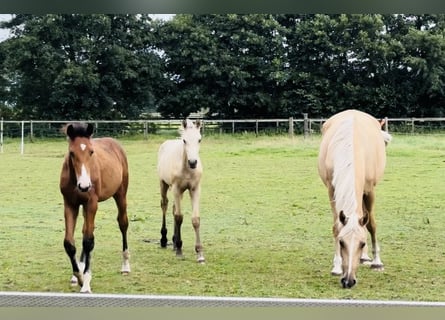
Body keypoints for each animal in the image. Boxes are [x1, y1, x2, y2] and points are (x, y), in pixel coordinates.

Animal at [59, 122, 129, 292]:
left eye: (91, 152)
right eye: (72, 153)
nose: (84, 186)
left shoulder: (91, 203)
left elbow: (89, 241)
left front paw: (86, 282)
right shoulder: (70, 204)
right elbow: (69, 243)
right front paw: (78, 276)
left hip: (121, 194)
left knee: (123, 223)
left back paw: (125, 266)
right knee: (84, 230)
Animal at [156, 119, 205, 262]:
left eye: (199, 139)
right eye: (184, 140)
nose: (193, 162)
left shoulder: (195, 189)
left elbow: (195, 219)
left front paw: (200, 253)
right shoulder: (176, 189)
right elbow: (179, 217)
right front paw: (179, 250)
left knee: (173, 209)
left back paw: (173, 241)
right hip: (164, 184)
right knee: (165, 205)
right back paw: (164, 240)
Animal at [318, 109, 390, 288]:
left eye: (362, 243)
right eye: (341, 242)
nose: (348, 281)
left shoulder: (370, 191)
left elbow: (371, 225)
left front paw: (377, 262)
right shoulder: (332, 190)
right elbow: (337, 226)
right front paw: (336, 267)